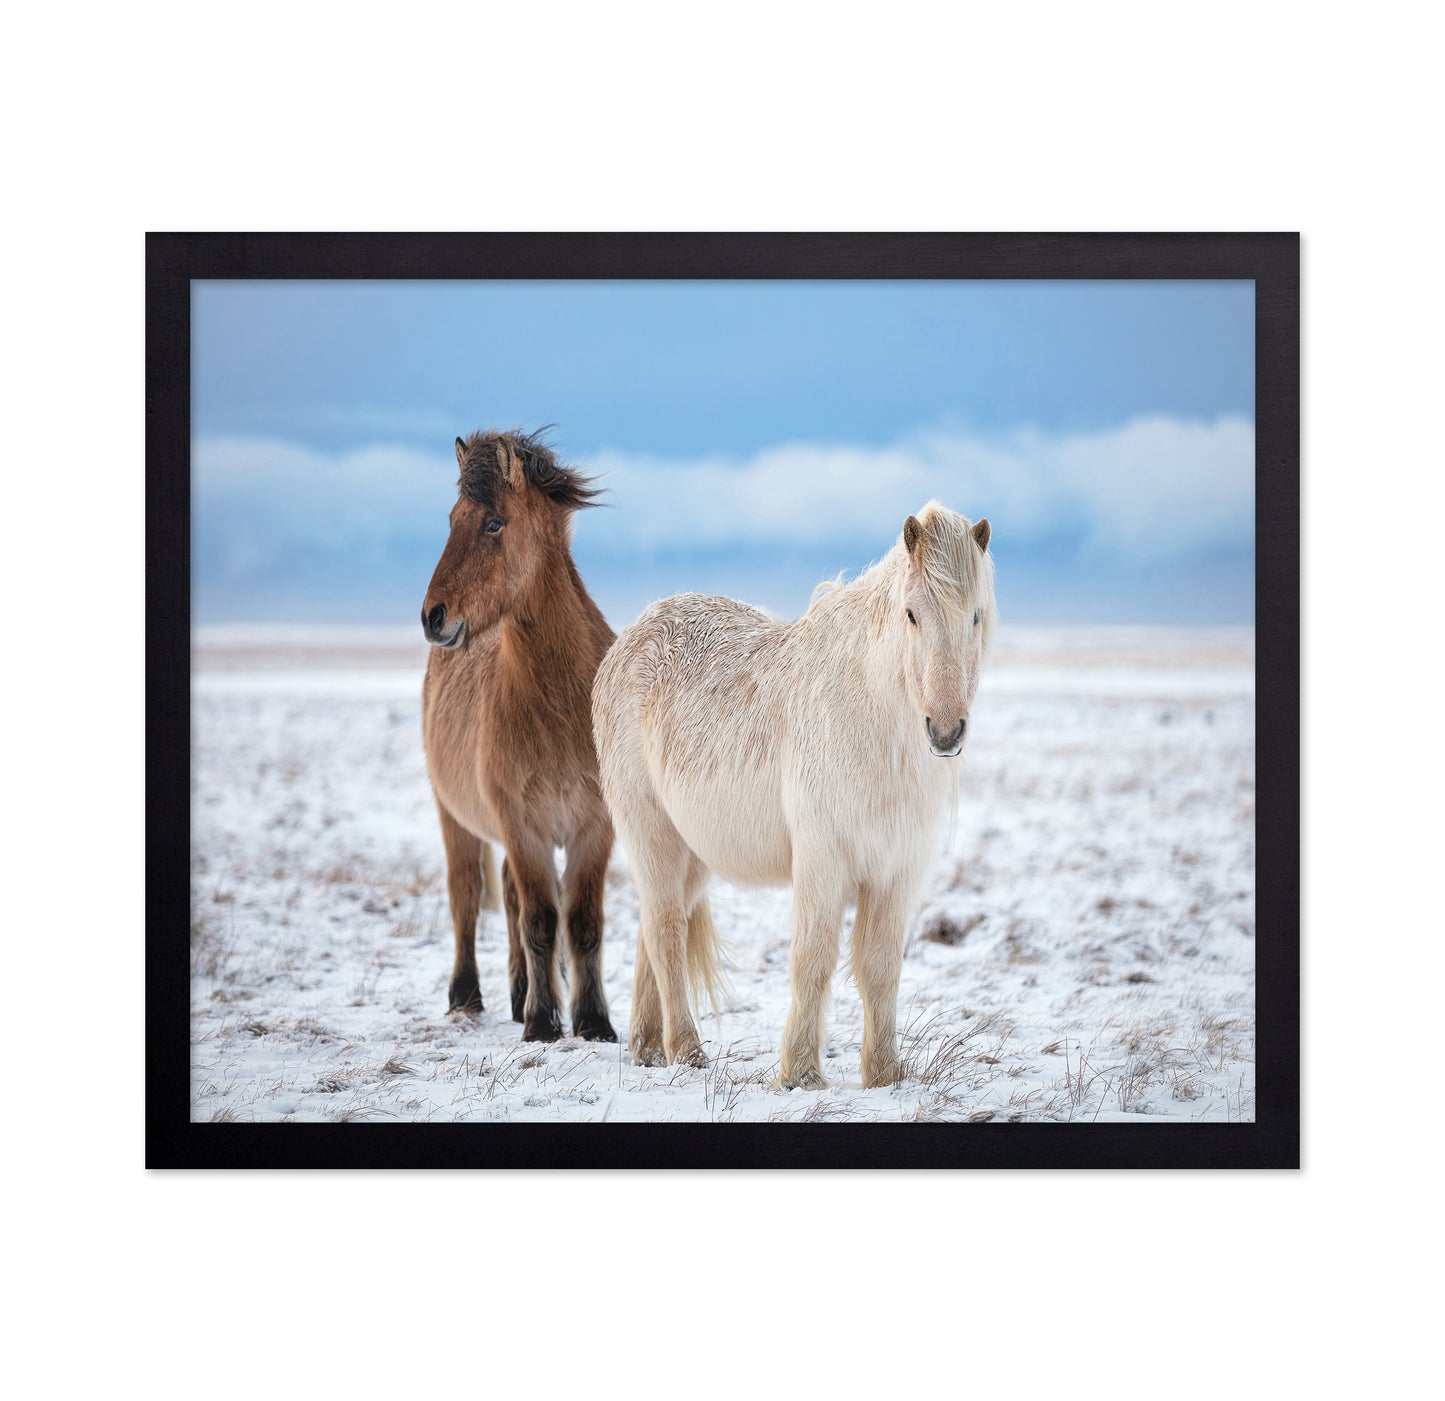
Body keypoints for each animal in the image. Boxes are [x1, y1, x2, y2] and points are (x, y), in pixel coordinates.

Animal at [420, 429, 619, 1042]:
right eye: (451, 518)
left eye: (492, 523)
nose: (433, 616)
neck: (560, 707)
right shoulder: (523, 826)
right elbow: (539, 920)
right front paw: (542, 1023)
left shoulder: (594, 828)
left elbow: (581, 923)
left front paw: (594, 1022)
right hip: (455, 817)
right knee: (467, 897)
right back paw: (468, 995)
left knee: (507, 897)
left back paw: (516, 991)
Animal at [592, 502, 996, 1088]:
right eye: (911, 614)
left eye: (976, 616)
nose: (945, 731)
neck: (869, 714)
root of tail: (627, 641)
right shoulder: (823, 859)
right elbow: (813, 958)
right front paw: (801, 1072)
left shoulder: (897, 870)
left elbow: (881, 967)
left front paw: (884, 1074)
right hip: (650, 831)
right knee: (666, 931)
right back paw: (687, 1052)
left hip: (695, 852)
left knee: (656, 926)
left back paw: (647, 1048)